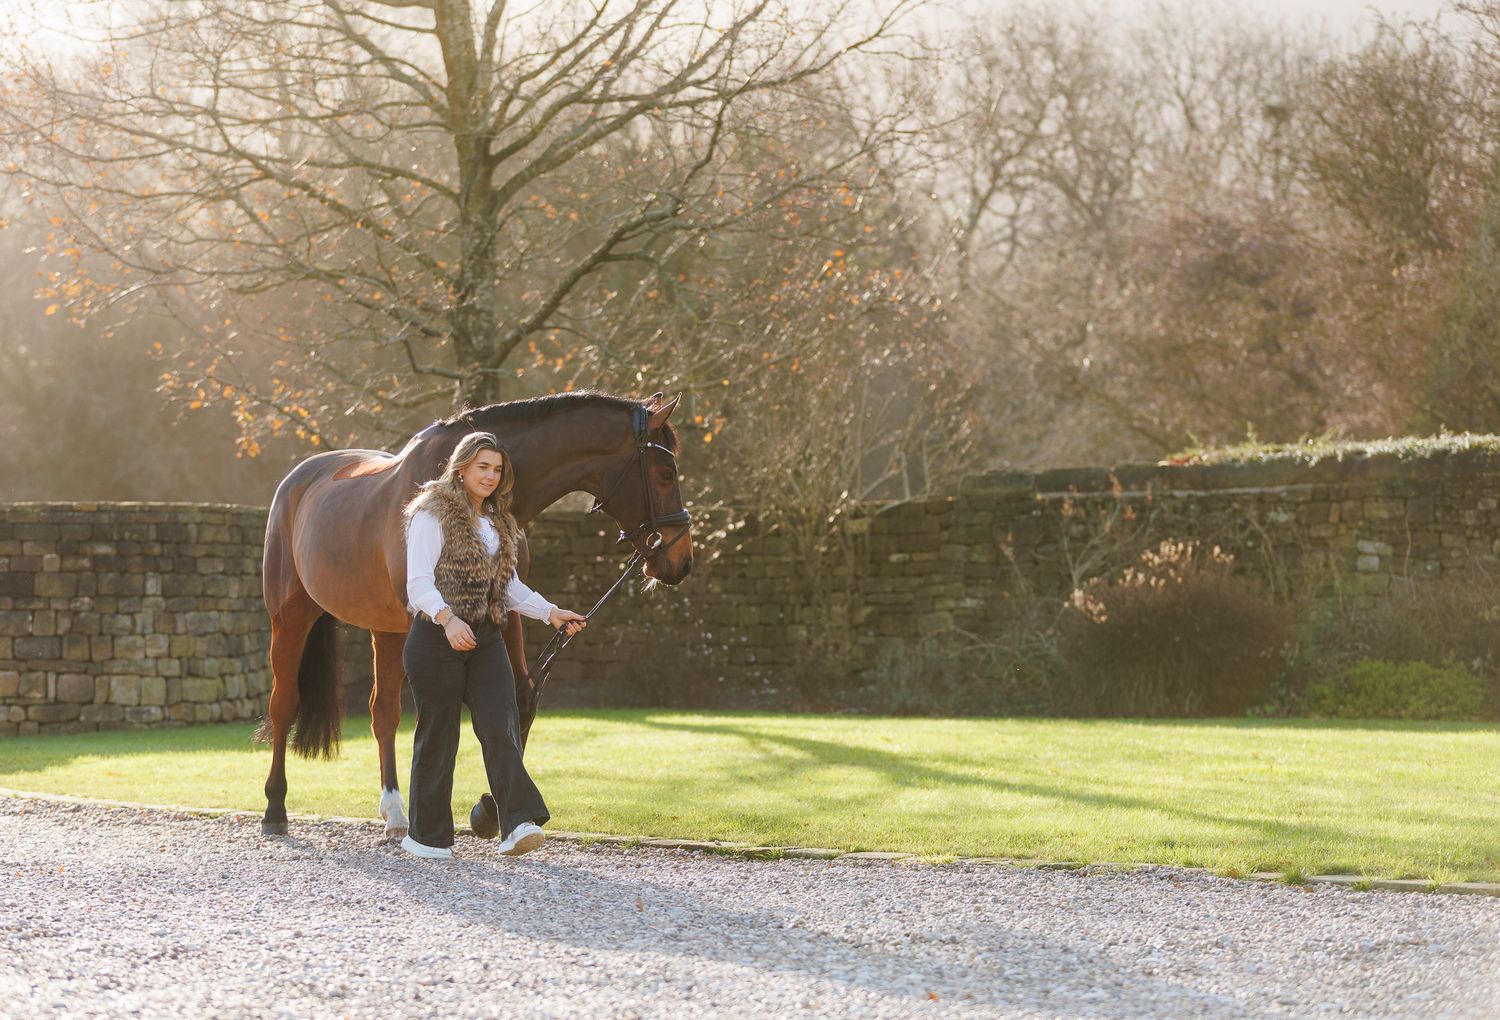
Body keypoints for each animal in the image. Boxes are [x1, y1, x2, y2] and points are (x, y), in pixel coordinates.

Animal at [255, 390, 692, 837]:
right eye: (665, 473)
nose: (681, 560)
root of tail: (296, 481)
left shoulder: (505, 607)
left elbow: (518, 698)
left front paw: (491, 810)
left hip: (386, 629)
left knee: (383, 714)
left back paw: (394, 813)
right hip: (290, 618)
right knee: (283, 704)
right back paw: (275, 810)